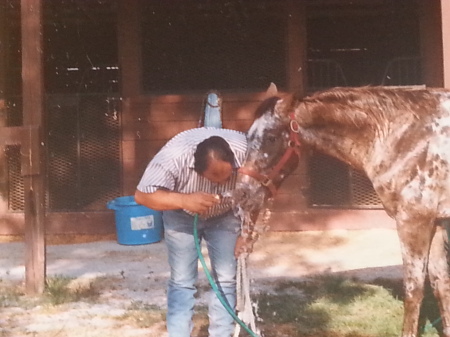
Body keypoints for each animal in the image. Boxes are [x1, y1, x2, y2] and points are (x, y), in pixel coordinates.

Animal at [234, 84, 450, 336]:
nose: (242, 193)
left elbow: (414, 290)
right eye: (248, 136)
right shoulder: (433, 221)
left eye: (271, 137)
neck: (405, 137)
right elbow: (441, 284)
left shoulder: (413, 221)